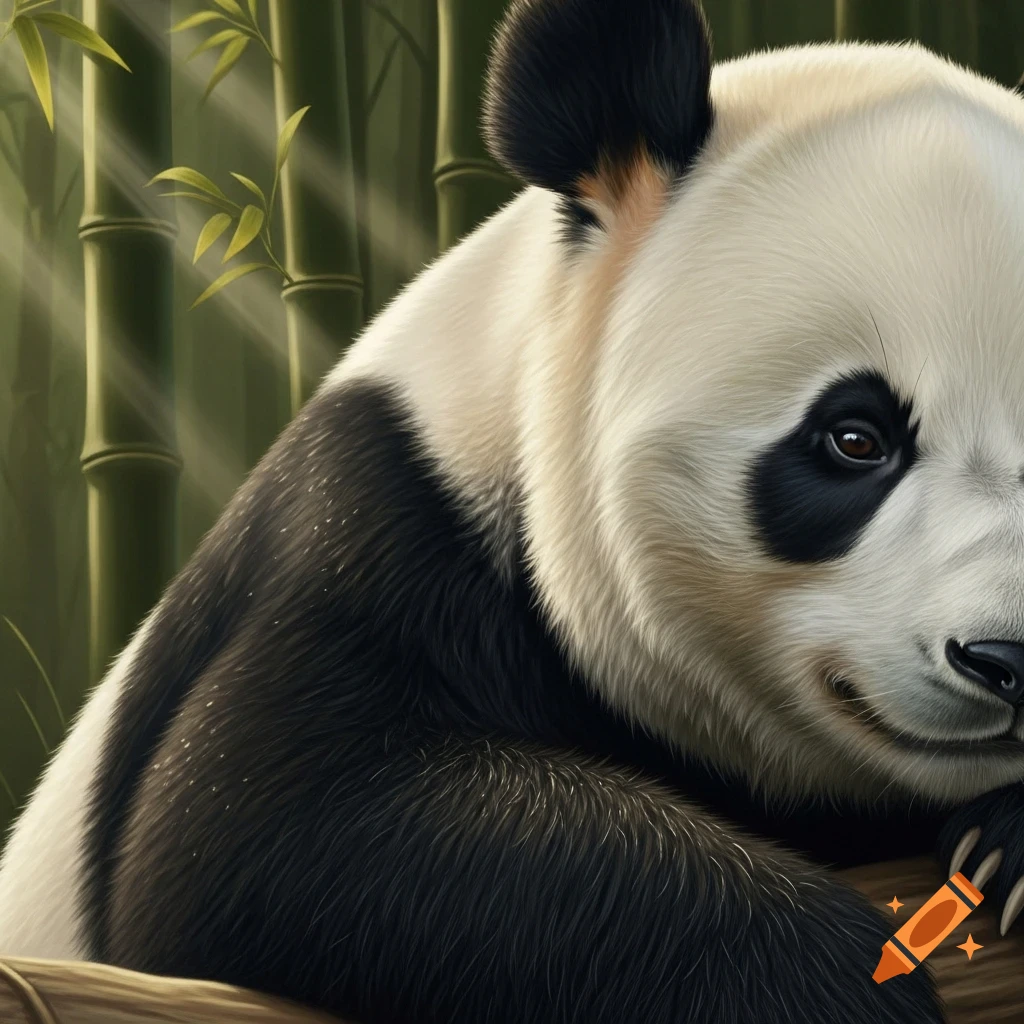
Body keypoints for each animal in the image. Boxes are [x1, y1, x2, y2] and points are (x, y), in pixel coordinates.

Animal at [4, 0, 1024, 1021]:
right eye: (855, 438)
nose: (1007, 660)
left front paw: (1001, 849)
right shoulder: (382, 521)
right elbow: (268, 823)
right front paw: (839, 983)